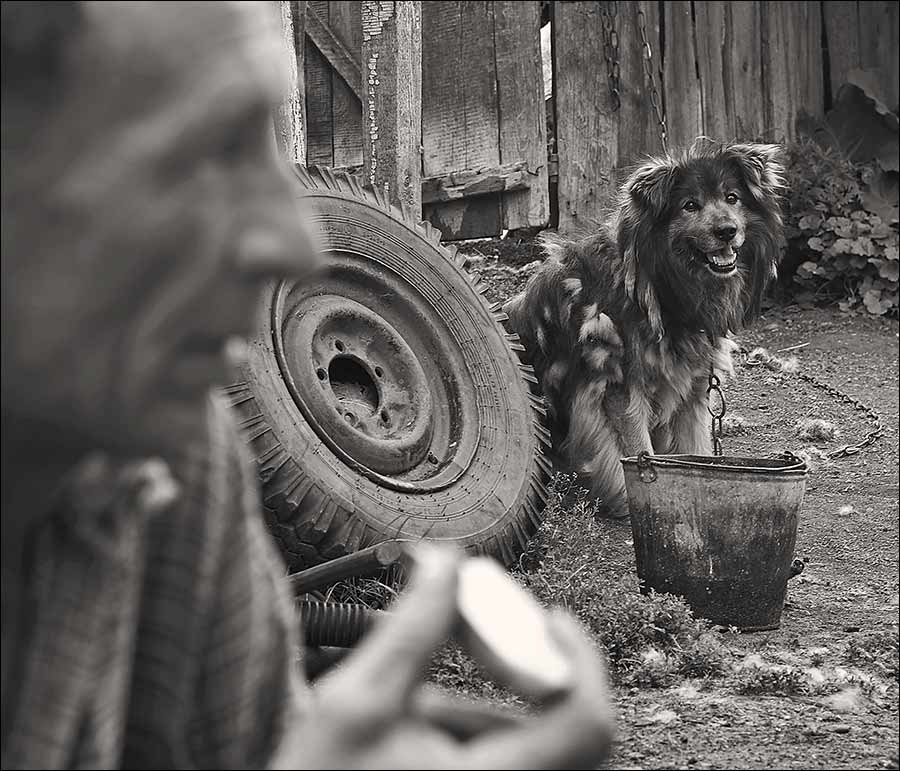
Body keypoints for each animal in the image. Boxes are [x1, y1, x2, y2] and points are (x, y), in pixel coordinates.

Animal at [506, 142, 788, 520]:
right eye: (689, 205)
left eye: (732, 198)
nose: (727, 230)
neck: (653, 285)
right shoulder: (619, 388)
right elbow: (639, 451)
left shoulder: (692, 390)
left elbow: (696, 450)